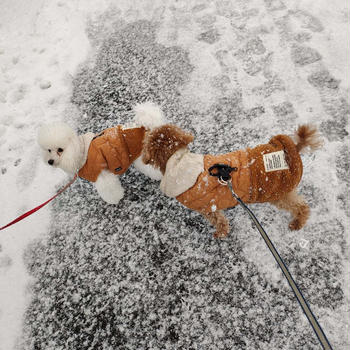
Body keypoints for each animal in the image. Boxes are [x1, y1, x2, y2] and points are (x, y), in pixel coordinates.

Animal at [141, 123, 322, 238]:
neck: (178, 161)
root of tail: (291, 150)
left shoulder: (208, 209)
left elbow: (220, 222)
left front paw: (220, 234)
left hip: (278, 193)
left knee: (302, 206)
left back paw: (298, 222)